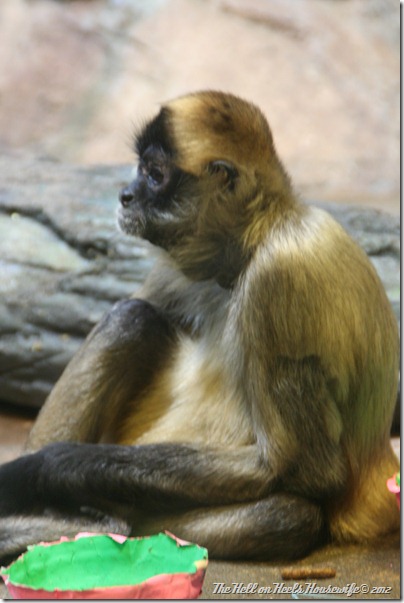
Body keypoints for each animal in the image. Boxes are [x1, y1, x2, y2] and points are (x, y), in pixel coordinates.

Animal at [0, 91, 399, 563]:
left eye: (154, 175)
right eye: (140, 170)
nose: (125, 195)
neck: (256, 238)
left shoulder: (278, 276)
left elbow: (309, 471)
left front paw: (43, 468)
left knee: (287, 514)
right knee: (132, 317)